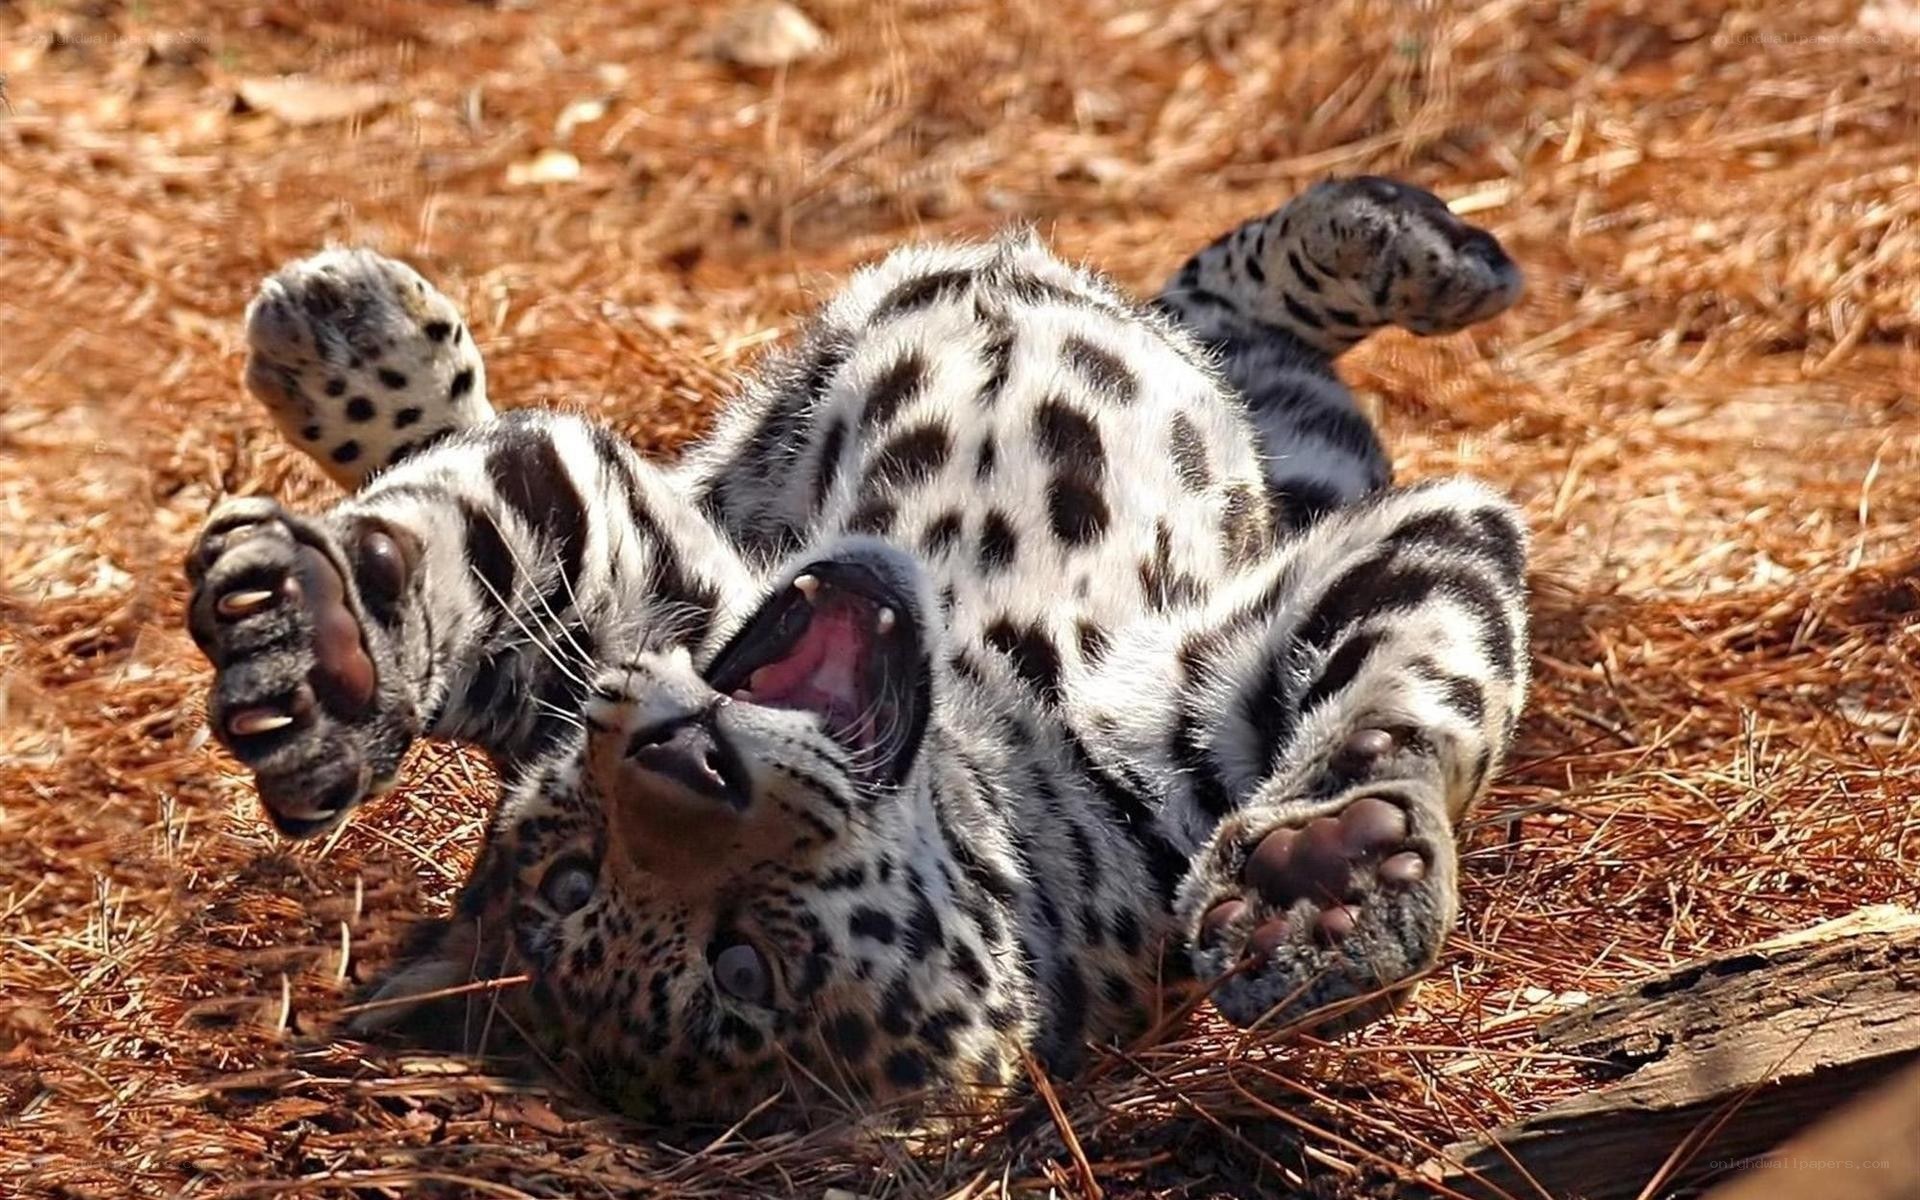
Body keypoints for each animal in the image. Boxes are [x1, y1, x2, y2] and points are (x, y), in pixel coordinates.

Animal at [183, 176, 1529, 1121]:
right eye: (578, 874)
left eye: (748, 963)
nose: (687, 761)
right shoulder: (617, 585)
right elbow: (484, 510)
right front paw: (329, 640)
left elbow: (1431, 686)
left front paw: (1331, 877)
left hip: (1287, 454)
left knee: (1220, 317)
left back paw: (1418, 244)